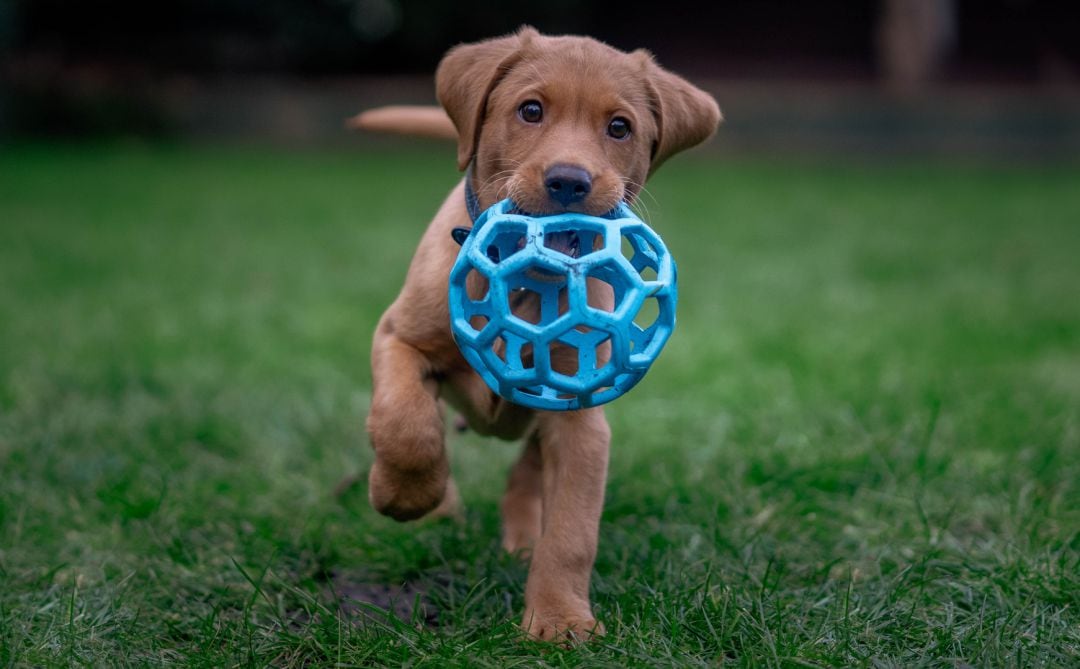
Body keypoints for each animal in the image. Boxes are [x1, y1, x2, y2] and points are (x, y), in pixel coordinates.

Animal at [356, 27, 725, 644]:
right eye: (530, 110)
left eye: (619, 127)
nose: (569, 182)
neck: (530, 281)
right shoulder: (399, 338)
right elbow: (406, 425)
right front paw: (405, 496)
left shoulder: (581, 414)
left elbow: (572, 533)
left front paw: (559, 619)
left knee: (525, 474)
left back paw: (522, 539)